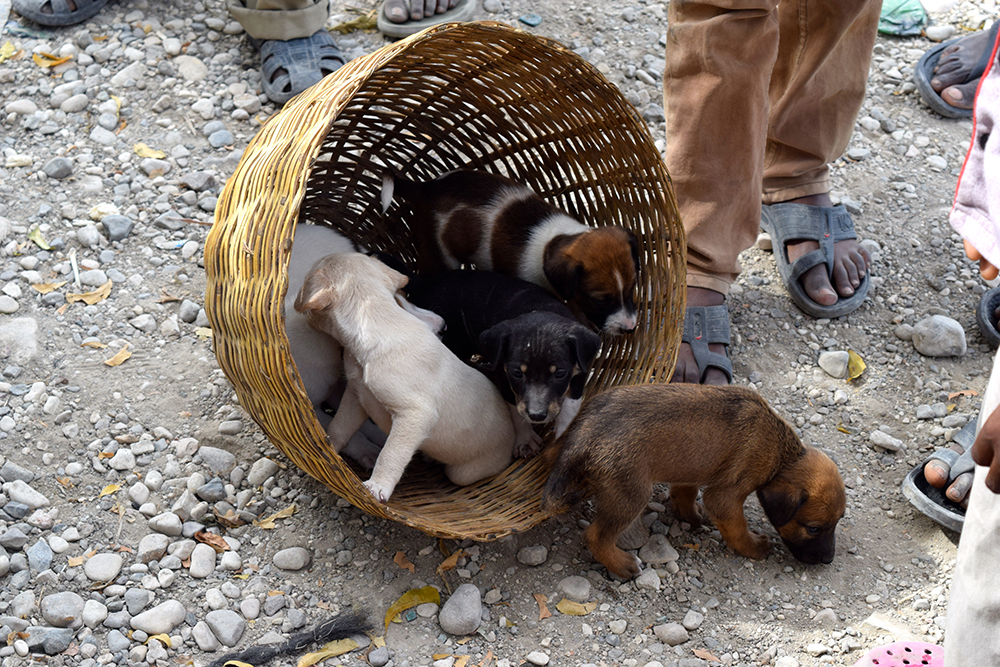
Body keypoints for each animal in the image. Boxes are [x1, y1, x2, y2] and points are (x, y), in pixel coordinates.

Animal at [294, 253, 516, 504]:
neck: (378, 323)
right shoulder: (356, 398)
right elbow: (339, 427)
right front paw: (329, 449)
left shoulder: (416, 413)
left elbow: (390, 454)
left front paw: (378, 486)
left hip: (462, 473)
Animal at [382, 167, 640, 334]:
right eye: (599, 300)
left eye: (632, 289)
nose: (629, 329)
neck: (553, 241)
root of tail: (426, 188)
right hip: (440, 256)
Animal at [404, 272, 600, 460]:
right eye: (517, 373)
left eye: (560, 374)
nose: (536, 416)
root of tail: (423, 283)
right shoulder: (504, 379)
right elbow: (516, 411)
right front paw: (526, 440)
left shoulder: (579, 374)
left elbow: (569, 410)